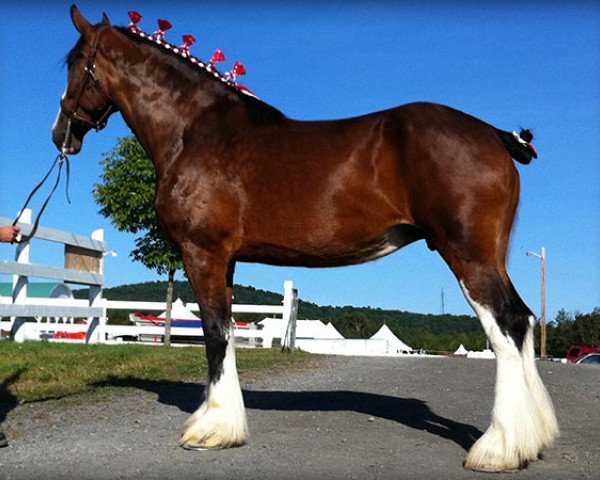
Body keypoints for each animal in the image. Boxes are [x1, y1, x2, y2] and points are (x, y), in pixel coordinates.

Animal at [51, 6, 556, 472]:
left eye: (74, 62)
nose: (61, 134)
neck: (195, 131)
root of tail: (494, 134)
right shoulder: (226, 260)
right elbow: (226, 330)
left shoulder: (203, 252)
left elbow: (215, 332)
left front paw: (213, 429)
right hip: (490, 256)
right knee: (524, 321)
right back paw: (534, 437)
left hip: (468, 255)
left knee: (507, 325)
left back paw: (499, 449)